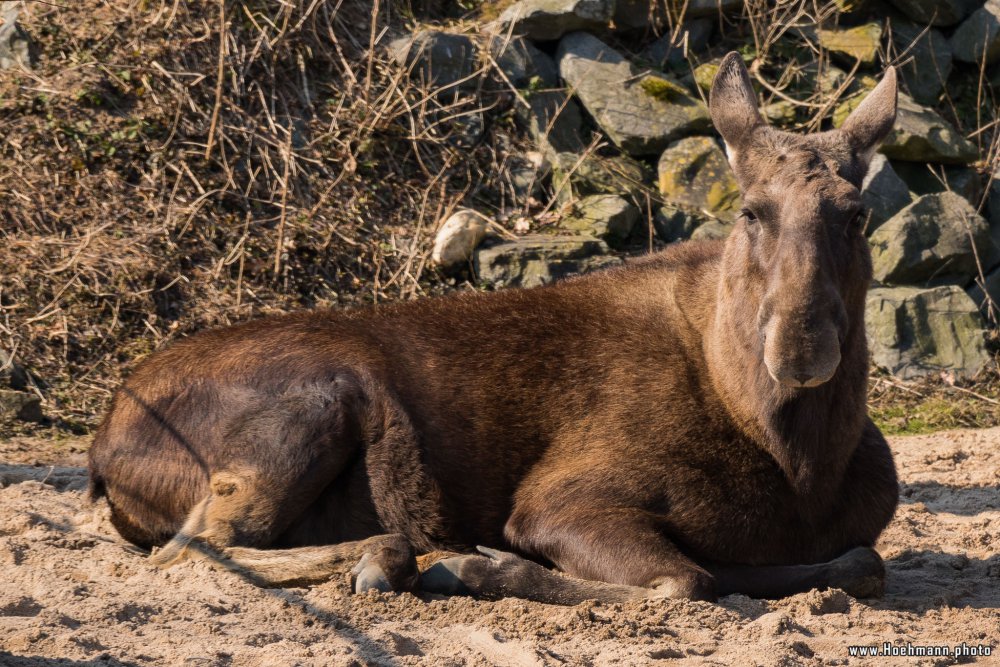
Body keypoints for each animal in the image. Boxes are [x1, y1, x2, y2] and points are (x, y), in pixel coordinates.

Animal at [88, 54, 900, 604]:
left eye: (858, 213)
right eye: (751, 211)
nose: (800, 345)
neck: (796, 454)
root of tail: (101, 449)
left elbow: (855, 562)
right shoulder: (557, 501)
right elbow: (683, 582)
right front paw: (481, 564)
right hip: (313, 405)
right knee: (196, 549)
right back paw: (390, 558)